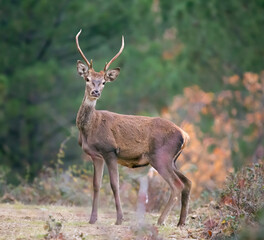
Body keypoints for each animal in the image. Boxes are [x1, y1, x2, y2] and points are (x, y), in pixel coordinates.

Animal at [75, 30, 191, 227]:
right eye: (88, 79)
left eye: (104, 82)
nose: (95, 92)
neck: (89, 129)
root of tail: (185, 135)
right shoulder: (95, 155)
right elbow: (96, 185)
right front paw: (92, 219)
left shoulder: (110, 150)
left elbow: (114, 185)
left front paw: (119, 219)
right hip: (173, 159)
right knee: (188, 182)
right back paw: (181, 222)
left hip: (160, 156)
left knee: (177, 184)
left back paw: (161, 220)